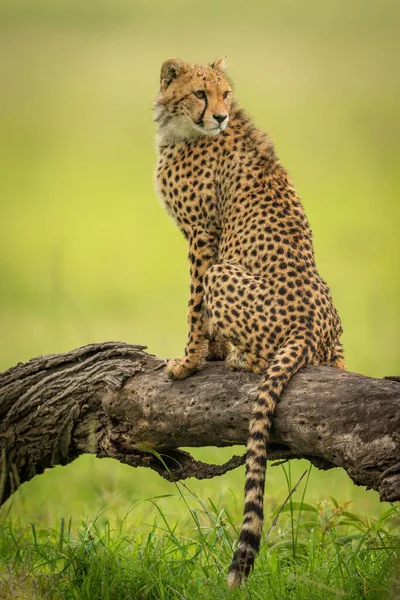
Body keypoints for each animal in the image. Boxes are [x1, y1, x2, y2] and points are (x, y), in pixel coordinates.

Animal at [155, 55, 346, 584]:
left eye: (226, 93)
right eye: (201, 92)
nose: (219, 116)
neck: (182, 128)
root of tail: (309, 326)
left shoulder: (203, 236)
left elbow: (195, 306)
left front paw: (189, 362)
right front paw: (210, 353)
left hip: (226, 272)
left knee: (263, 356)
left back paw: (241, 360)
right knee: (337, 361)